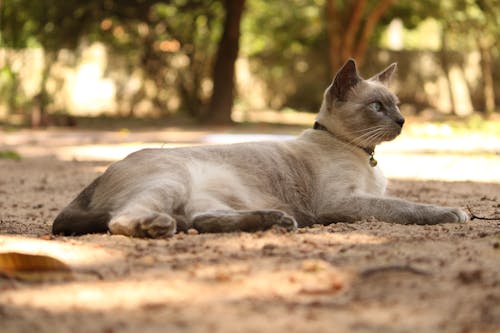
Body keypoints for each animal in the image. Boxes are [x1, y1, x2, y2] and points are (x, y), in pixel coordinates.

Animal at [52, 59, 470, 236]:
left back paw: (278, 220)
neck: (363, 156)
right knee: (122, 221)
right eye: (377, 107)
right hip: (172, 181)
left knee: (201, 221)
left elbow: (400, 203)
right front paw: (455, 212)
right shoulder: (343, 200)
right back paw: (156, 227)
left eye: (396, 105)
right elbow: (406, 207)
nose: (402, 121)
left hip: (210, 198)